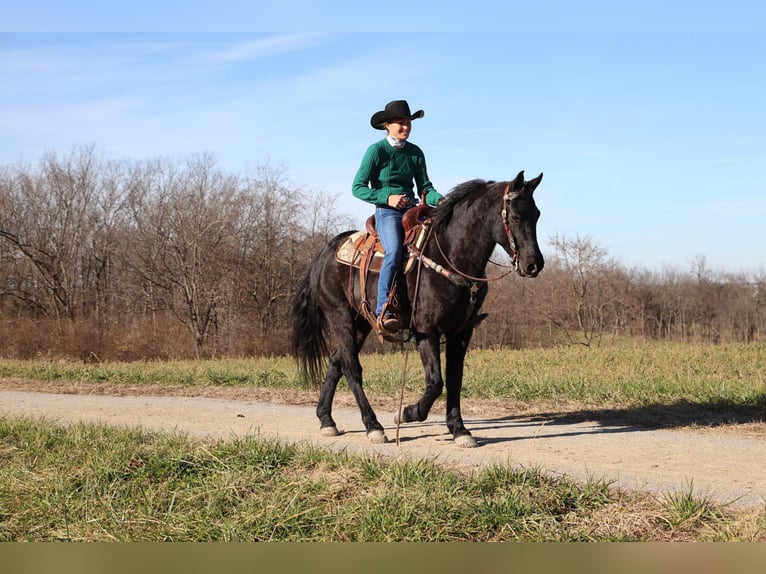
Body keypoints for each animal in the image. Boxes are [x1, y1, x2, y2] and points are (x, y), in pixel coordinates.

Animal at [290, 171, 544, 450]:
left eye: (537, 214)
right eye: (516, 216)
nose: (534, 265)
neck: (451, 255)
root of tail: (325, 252)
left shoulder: (461, 333)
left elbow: (454, 379)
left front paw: (459, 430)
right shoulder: (426, 331)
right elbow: (435, 382)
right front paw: (406, 413)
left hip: (361, 323)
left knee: (337, 362)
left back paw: (326, 419)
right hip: (340, 316)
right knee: (351, 367)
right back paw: (373, 426)